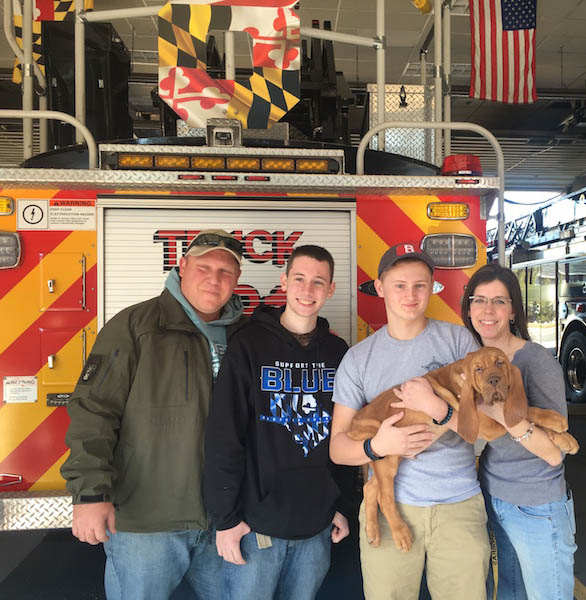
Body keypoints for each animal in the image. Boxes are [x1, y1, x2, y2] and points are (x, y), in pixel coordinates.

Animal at [346, 346, 580, 552]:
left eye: (500, 363)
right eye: (479, 369)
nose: (494, 380)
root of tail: (353, 425)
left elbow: (522, 413)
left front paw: (565, 439)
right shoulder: (487, 426)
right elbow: (526, 411)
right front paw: (555, 421)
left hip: (393, 457)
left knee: (370, 488)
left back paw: (373, 532)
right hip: (388, 455)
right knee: (384, 498)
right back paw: (401, 533)